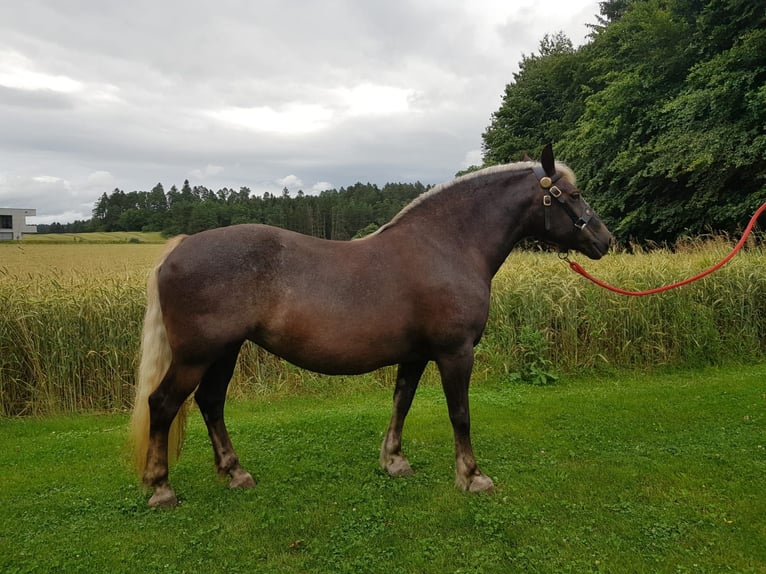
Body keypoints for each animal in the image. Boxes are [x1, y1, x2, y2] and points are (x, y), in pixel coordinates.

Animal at [130, 144, 612, 508]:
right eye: (573, 193)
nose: (604, 240)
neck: (446, 246)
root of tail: (180, 248)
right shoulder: (455, 352)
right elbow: (460, 414)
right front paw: (472, 476)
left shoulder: (416, 355)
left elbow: (402, 402)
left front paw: (394, 461)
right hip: (196, 355)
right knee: (163, 404)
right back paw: (162, 488)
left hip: (224, 352)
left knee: (210, 403)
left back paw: (235, 473)